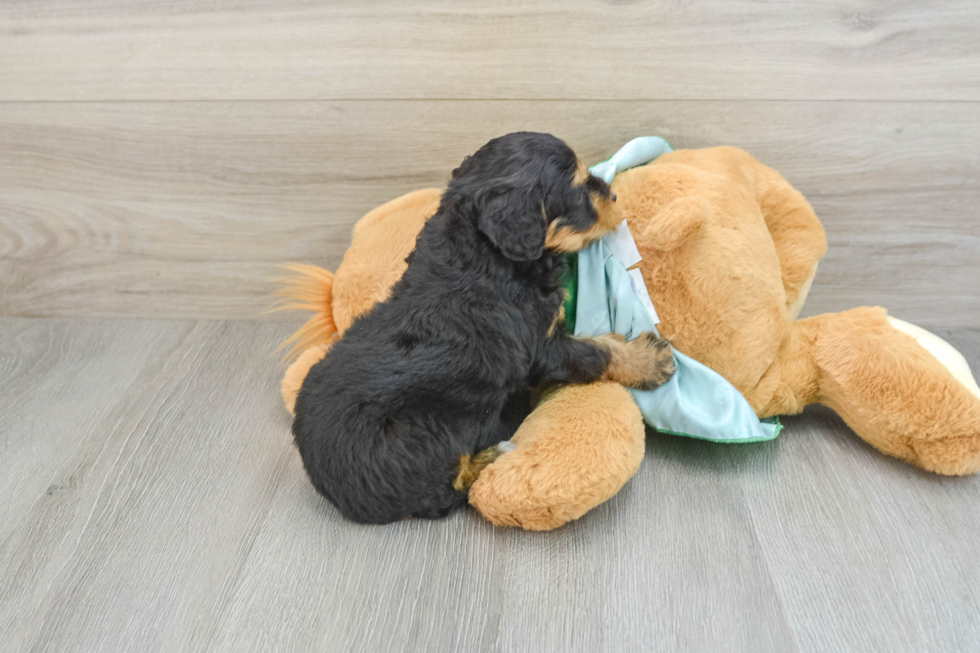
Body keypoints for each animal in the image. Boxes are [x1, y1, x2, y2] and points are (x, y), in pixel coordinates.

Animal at [292, 132, 672, 524]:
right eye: (579, 190)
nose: (614, 196)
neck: (484, 255)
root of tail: (335, 493)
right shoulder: (538, 349)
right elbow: (593, 351)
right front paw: (648, 359)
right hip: (423, 433)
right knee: (446, 491)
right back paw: (496, 451)